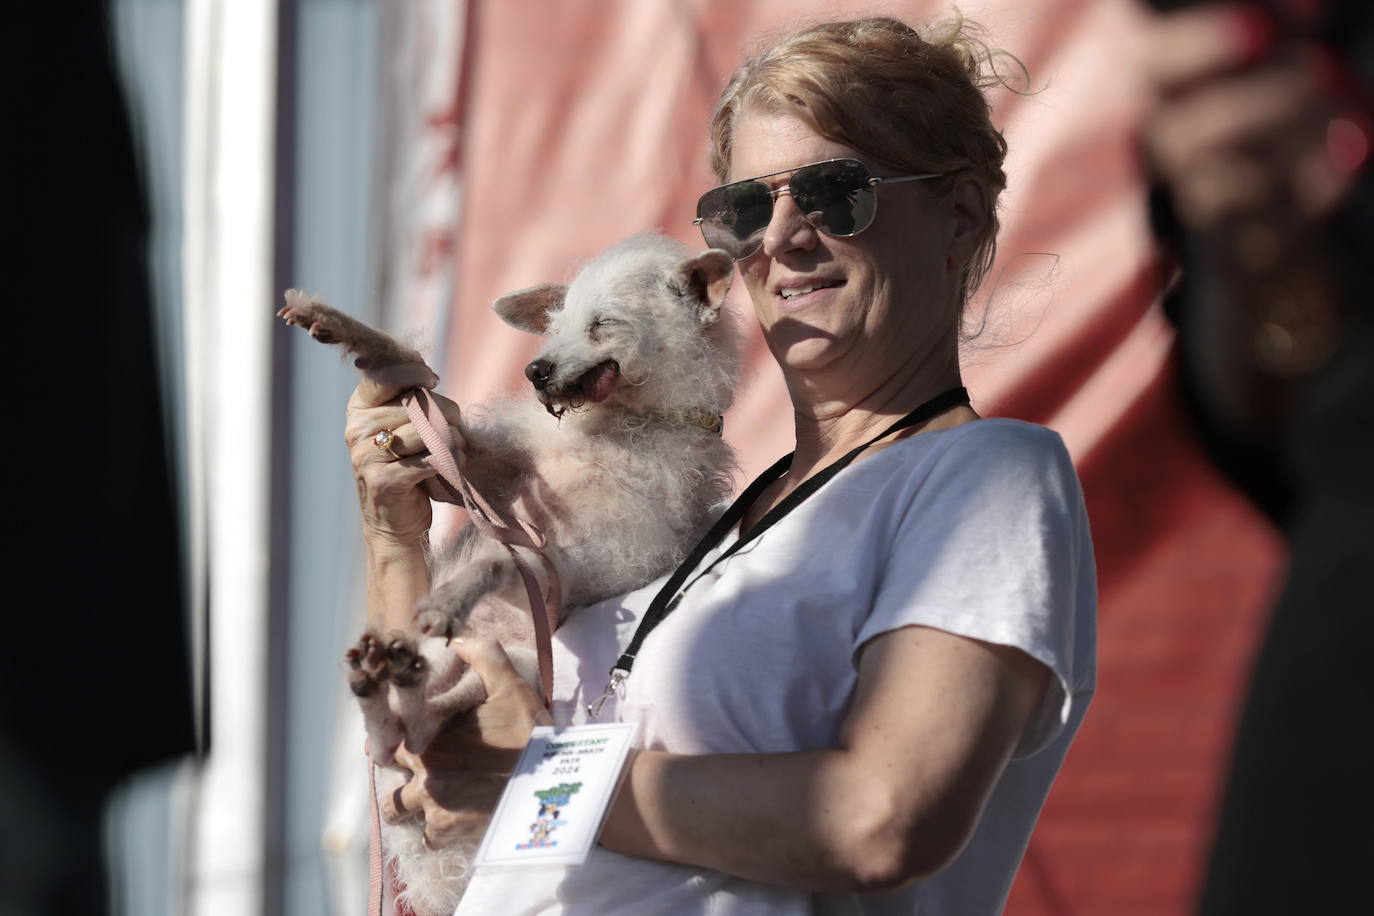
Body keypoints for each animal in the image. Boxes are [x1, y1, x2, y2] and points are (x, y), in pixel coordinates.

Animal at [277, 230, 741, 916]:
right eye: (556, 323)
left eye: (602, 323)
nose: (535, 370)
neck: (618, 426)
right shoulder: (479, 461)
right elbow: (431, 398)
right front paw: (346, 330)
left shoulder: (567, 571)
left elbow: (505, 558)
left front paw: (451, 598)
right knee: (394, 741)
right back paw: (381, 681)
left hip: (513, 669)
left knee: (417, 731)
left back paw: (399, 682)